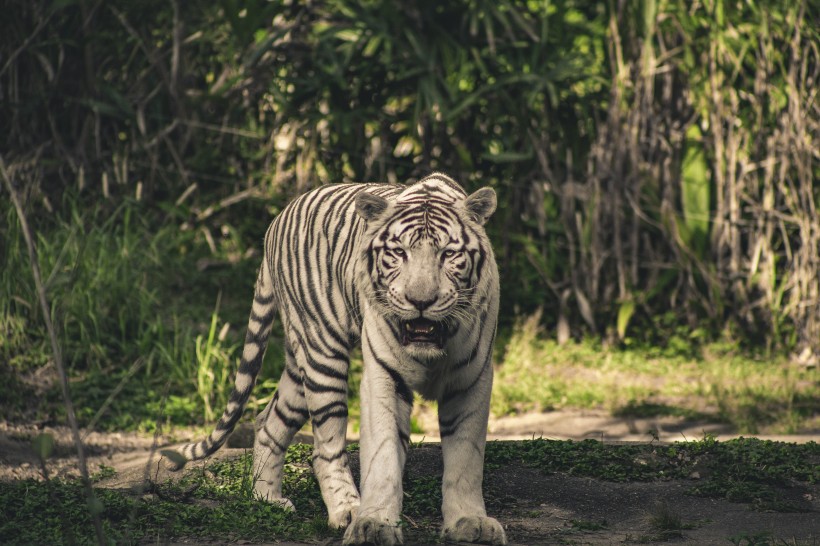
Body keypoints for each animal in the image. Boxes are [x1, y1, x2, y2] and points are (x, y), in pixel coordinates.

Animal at [171, 171, 506, 544]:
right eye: (398, 253)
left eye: (448, 254)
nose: (420, 301)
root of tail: (275, 222)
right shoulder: (383, 376)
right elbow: (383, 455)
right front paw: (374, 524)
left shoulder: (471, 378)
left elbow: (466, 457)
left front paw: (469, 522)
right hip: (321, 353)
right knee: (324, 448)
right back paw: (346, 509)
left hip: (298, 362)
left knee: (269, 421)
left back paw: (266, 499)